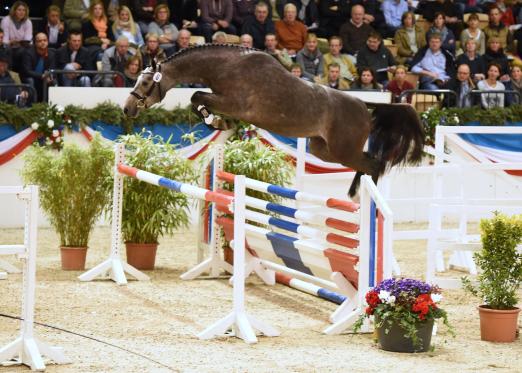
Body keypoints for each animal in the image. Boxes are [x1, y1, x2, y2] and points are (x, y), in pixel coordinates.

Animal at [124, 44, 424, 196]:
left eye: (147, 82)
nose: (127, 109)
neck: (227, 66)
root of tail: (364, 104)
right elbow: (197, 99)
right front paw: (219, 123)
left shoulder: (235, 104)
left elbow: (197, 96)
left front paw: (216, 122)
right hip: (323, 149)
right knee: (368, 162)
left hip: (343, 150)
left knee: (374, 164)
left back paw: (364, 198)